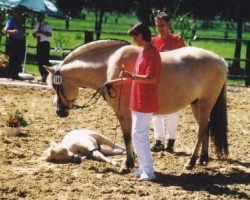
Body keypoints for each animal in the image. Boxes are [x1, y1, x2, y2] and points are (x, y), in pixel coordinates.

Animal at [45, 39, 229, 173]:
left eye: (56, 85)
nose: (59, 111)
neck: (109, 66)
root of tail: (221, 61)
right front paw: (131, 160)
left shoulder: (123, 112)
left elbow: (127, 136)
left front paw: (127, 164)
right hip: (196, 105)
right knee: (205, 128)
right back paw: (203, 159)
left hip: (205, 103)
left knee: (201, 130)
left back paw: (191, 161)